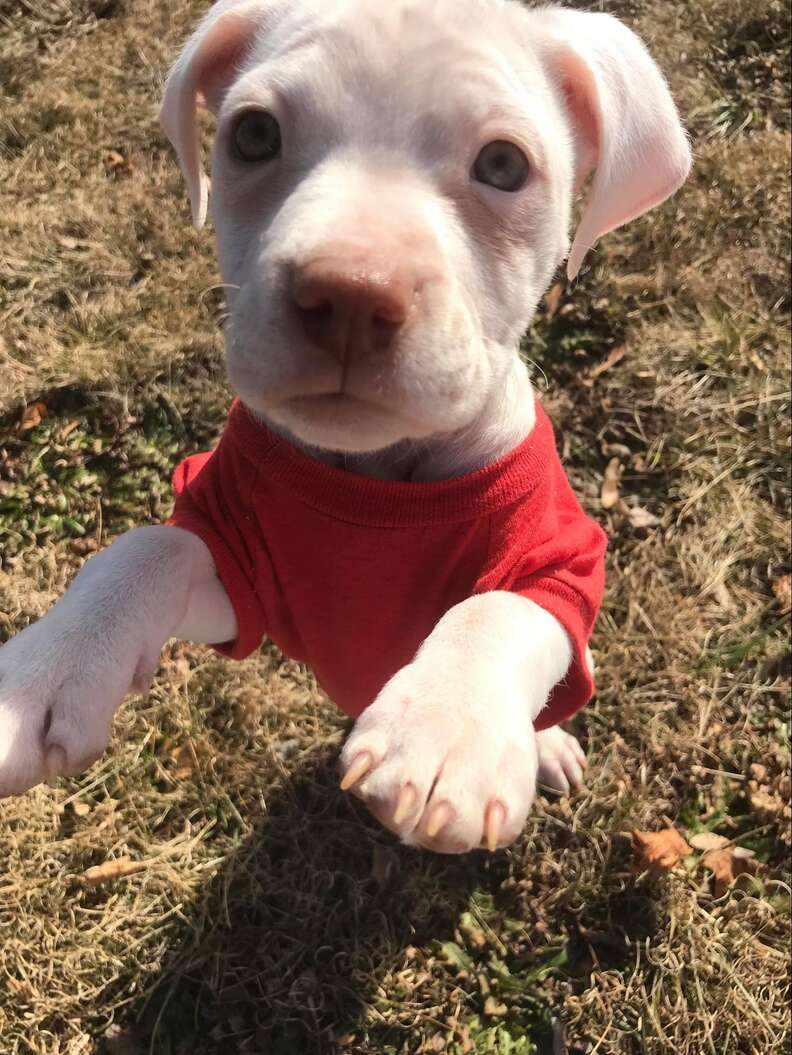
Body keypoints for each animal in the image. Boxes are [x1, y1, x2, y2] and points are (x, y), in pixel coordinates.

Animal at [0, 0, 691, 852]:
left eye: (503, 164)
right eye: (253, 134)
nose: (352, 293)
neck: (379, 473)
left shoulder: (558, 557)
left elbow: (501, 608)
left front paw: (443, 729)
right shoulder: (237, 572)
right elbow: (148, 548)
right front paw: (49, 666)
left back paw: (543, 743)